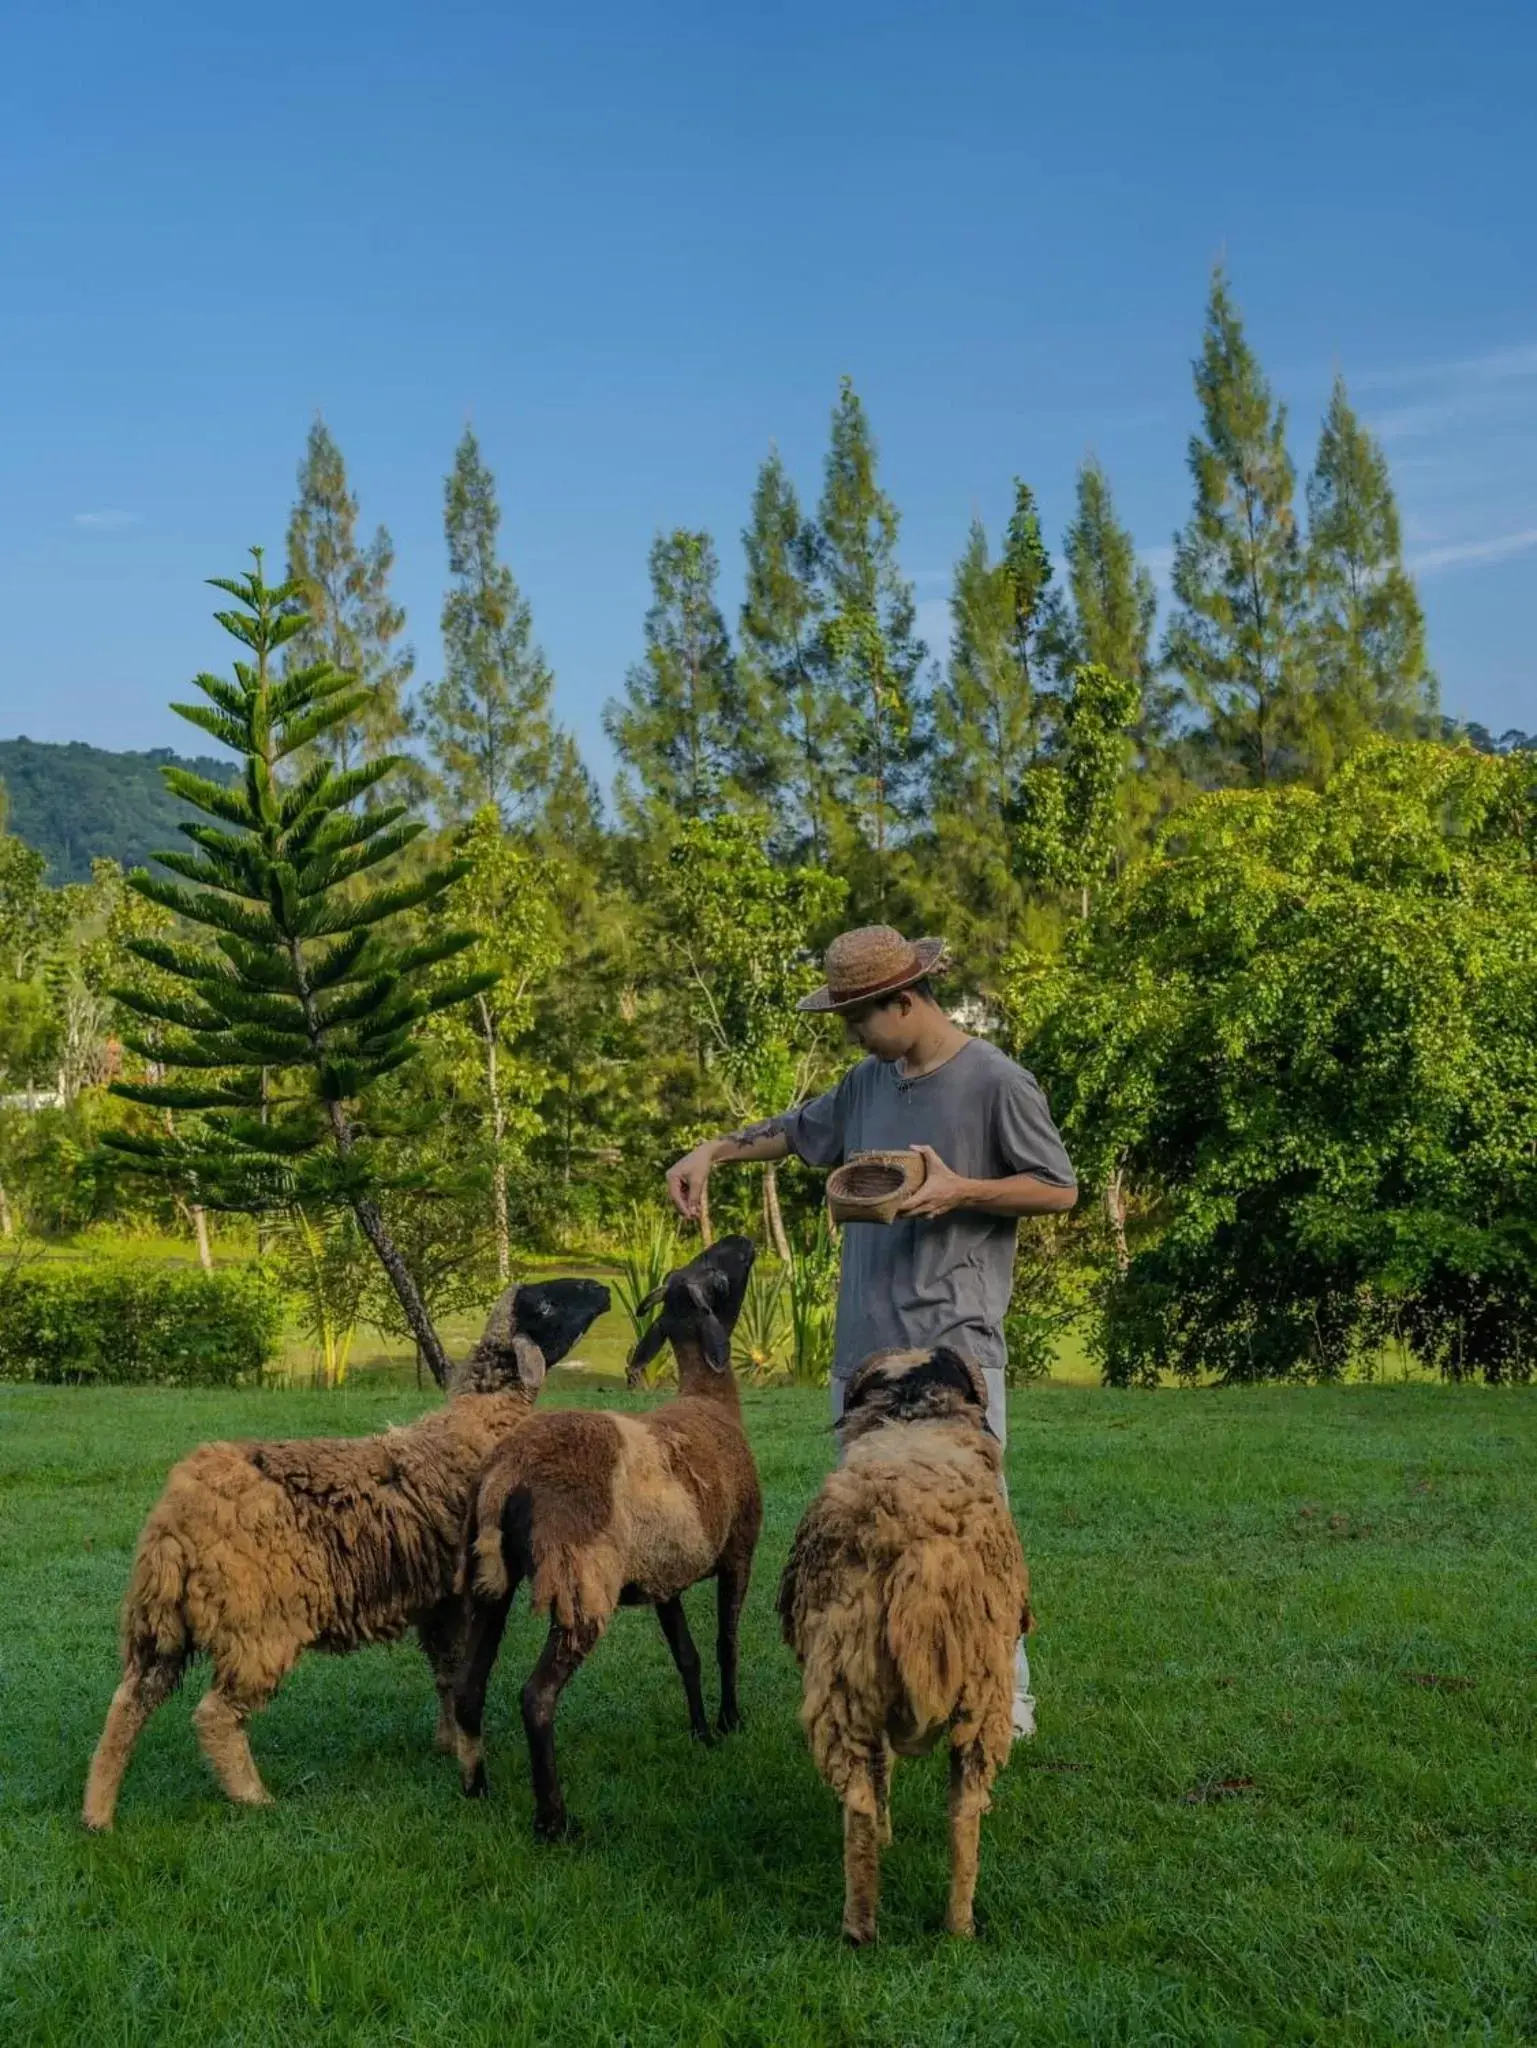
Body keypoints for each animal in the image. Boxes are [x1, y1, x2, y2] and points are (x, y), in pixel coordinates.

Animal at [78, 1269, 606, 1835]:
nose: (603, 1290)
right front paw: (462, 1747)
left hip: (159, 1624)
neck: (480, 1420)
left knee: (128, 1703)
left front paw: (446, 1743)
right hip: (256, 1627)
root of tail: (173, 1521)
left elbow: (446, 1670)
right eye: (552, 1302)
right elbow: (464, 1672)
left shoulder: (438, 1599)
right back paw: (252, 1797)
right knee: (215, 1715)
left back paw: (97, 1813)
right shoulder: (466, 1591)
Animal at [450, 1228, 766, 1843]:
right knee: (535, 1697)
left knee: (470, 1686)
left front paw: (701, 1733)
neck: (710, 1399)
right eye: (718, 1272)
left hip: (491, 1577)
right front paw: (730, 1721)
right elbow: (726, 1644)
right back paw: (554, 1821)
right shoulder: (740, 1550)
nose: (742, 1237)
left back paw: (476, 1788)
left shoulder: (666, 1577)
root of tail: (506, 1472)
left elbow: (687, 1655)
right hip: (581, 1579)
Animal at [782, 1351, 1036, 1941]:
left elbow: (884, 1773)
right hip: (974, 1698)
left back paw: (868, 1926)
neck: (913, 1407)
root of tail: (924, 1555)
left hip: (848, 1692)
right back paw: (951, 1927)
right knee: (959, 1815)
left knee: (864, 1804)